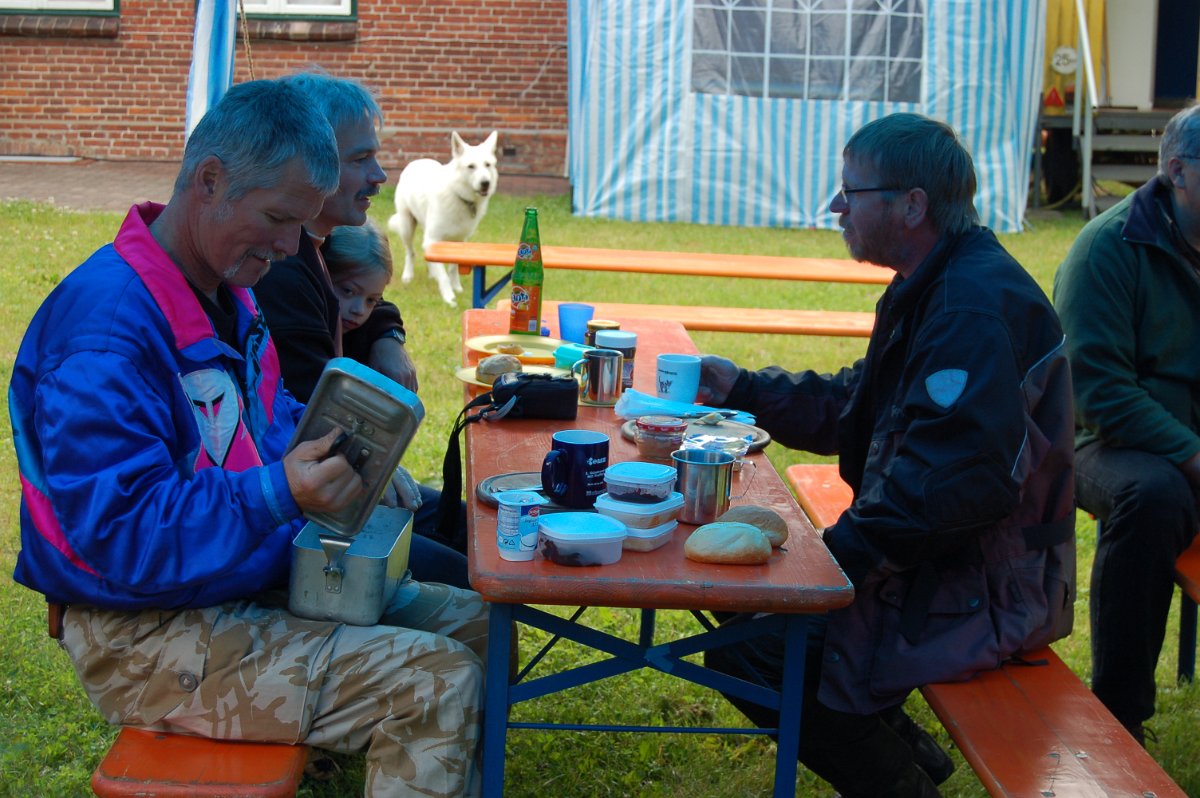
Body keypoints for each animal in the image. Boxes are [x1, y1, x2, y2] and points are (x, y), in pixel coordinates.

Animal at [391, 130, 499, 304]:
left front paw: (457, 288)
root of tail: (417, 161)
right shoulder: (433, 239)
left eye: (487, 165)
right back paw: (408, 276)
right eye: (471, 166)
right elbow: (443, 274)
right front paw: (449, 297)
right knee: (410, 252)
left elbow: (453, 268)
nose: (485, 183)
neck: (458, 194)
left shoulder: (458, 241)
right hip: (407, 226)